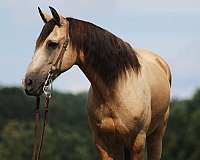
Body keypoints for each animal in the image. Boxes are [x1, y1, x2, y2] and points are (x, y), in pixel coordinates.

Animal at [23, 6, 170, 160]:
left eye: (52, 44)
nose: (28, 82)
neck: (116, 91)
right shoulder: (103, 143)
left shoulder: (137, 142)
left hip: (156, 136)